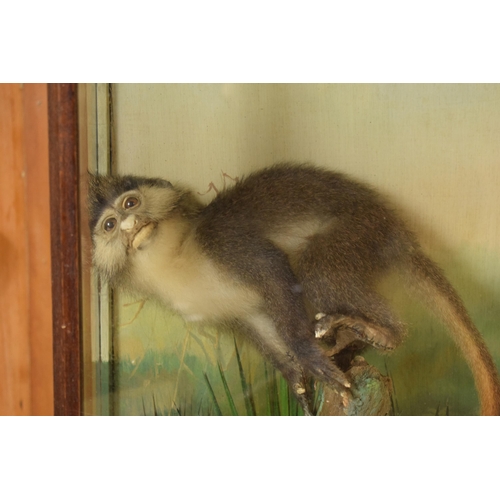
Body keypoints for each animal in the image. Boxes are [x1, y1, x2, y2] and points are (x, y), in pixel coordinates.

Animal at [88, 163, 500, 414]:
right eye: (110, 225)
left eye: (131, 202)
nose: (130, 226)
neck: (177, 255)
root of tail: (397, 232)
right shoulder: (233, 313)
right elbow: (264, 332)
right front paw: (299, 387)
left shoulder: (224, 244)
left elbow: (275, 270)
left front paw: (308, 354)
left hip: (358, 231)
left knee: (315, 264)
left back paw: (382, 332)